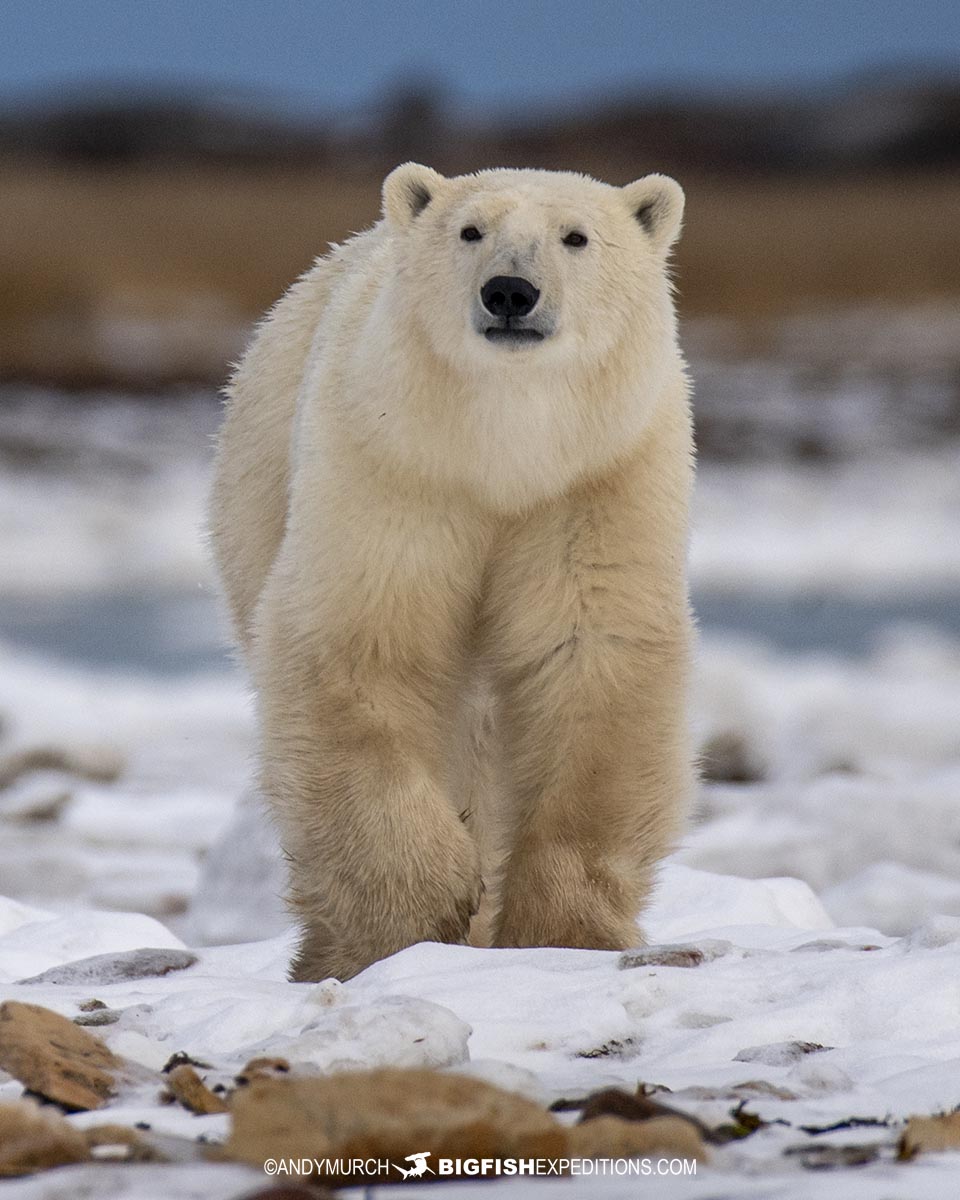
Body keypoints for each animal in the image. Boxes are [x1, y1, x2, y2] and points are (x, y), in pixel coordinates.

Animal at [210, 162, 696, 984]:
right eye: (471, 231)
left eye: (576, 236)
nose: (510, 292)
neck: (502, 452)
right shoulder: (395, 469)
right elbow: (363, 649)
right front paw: (417, 913)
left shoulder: (598, 481)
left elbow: (590, 660)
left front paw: (562, 928)